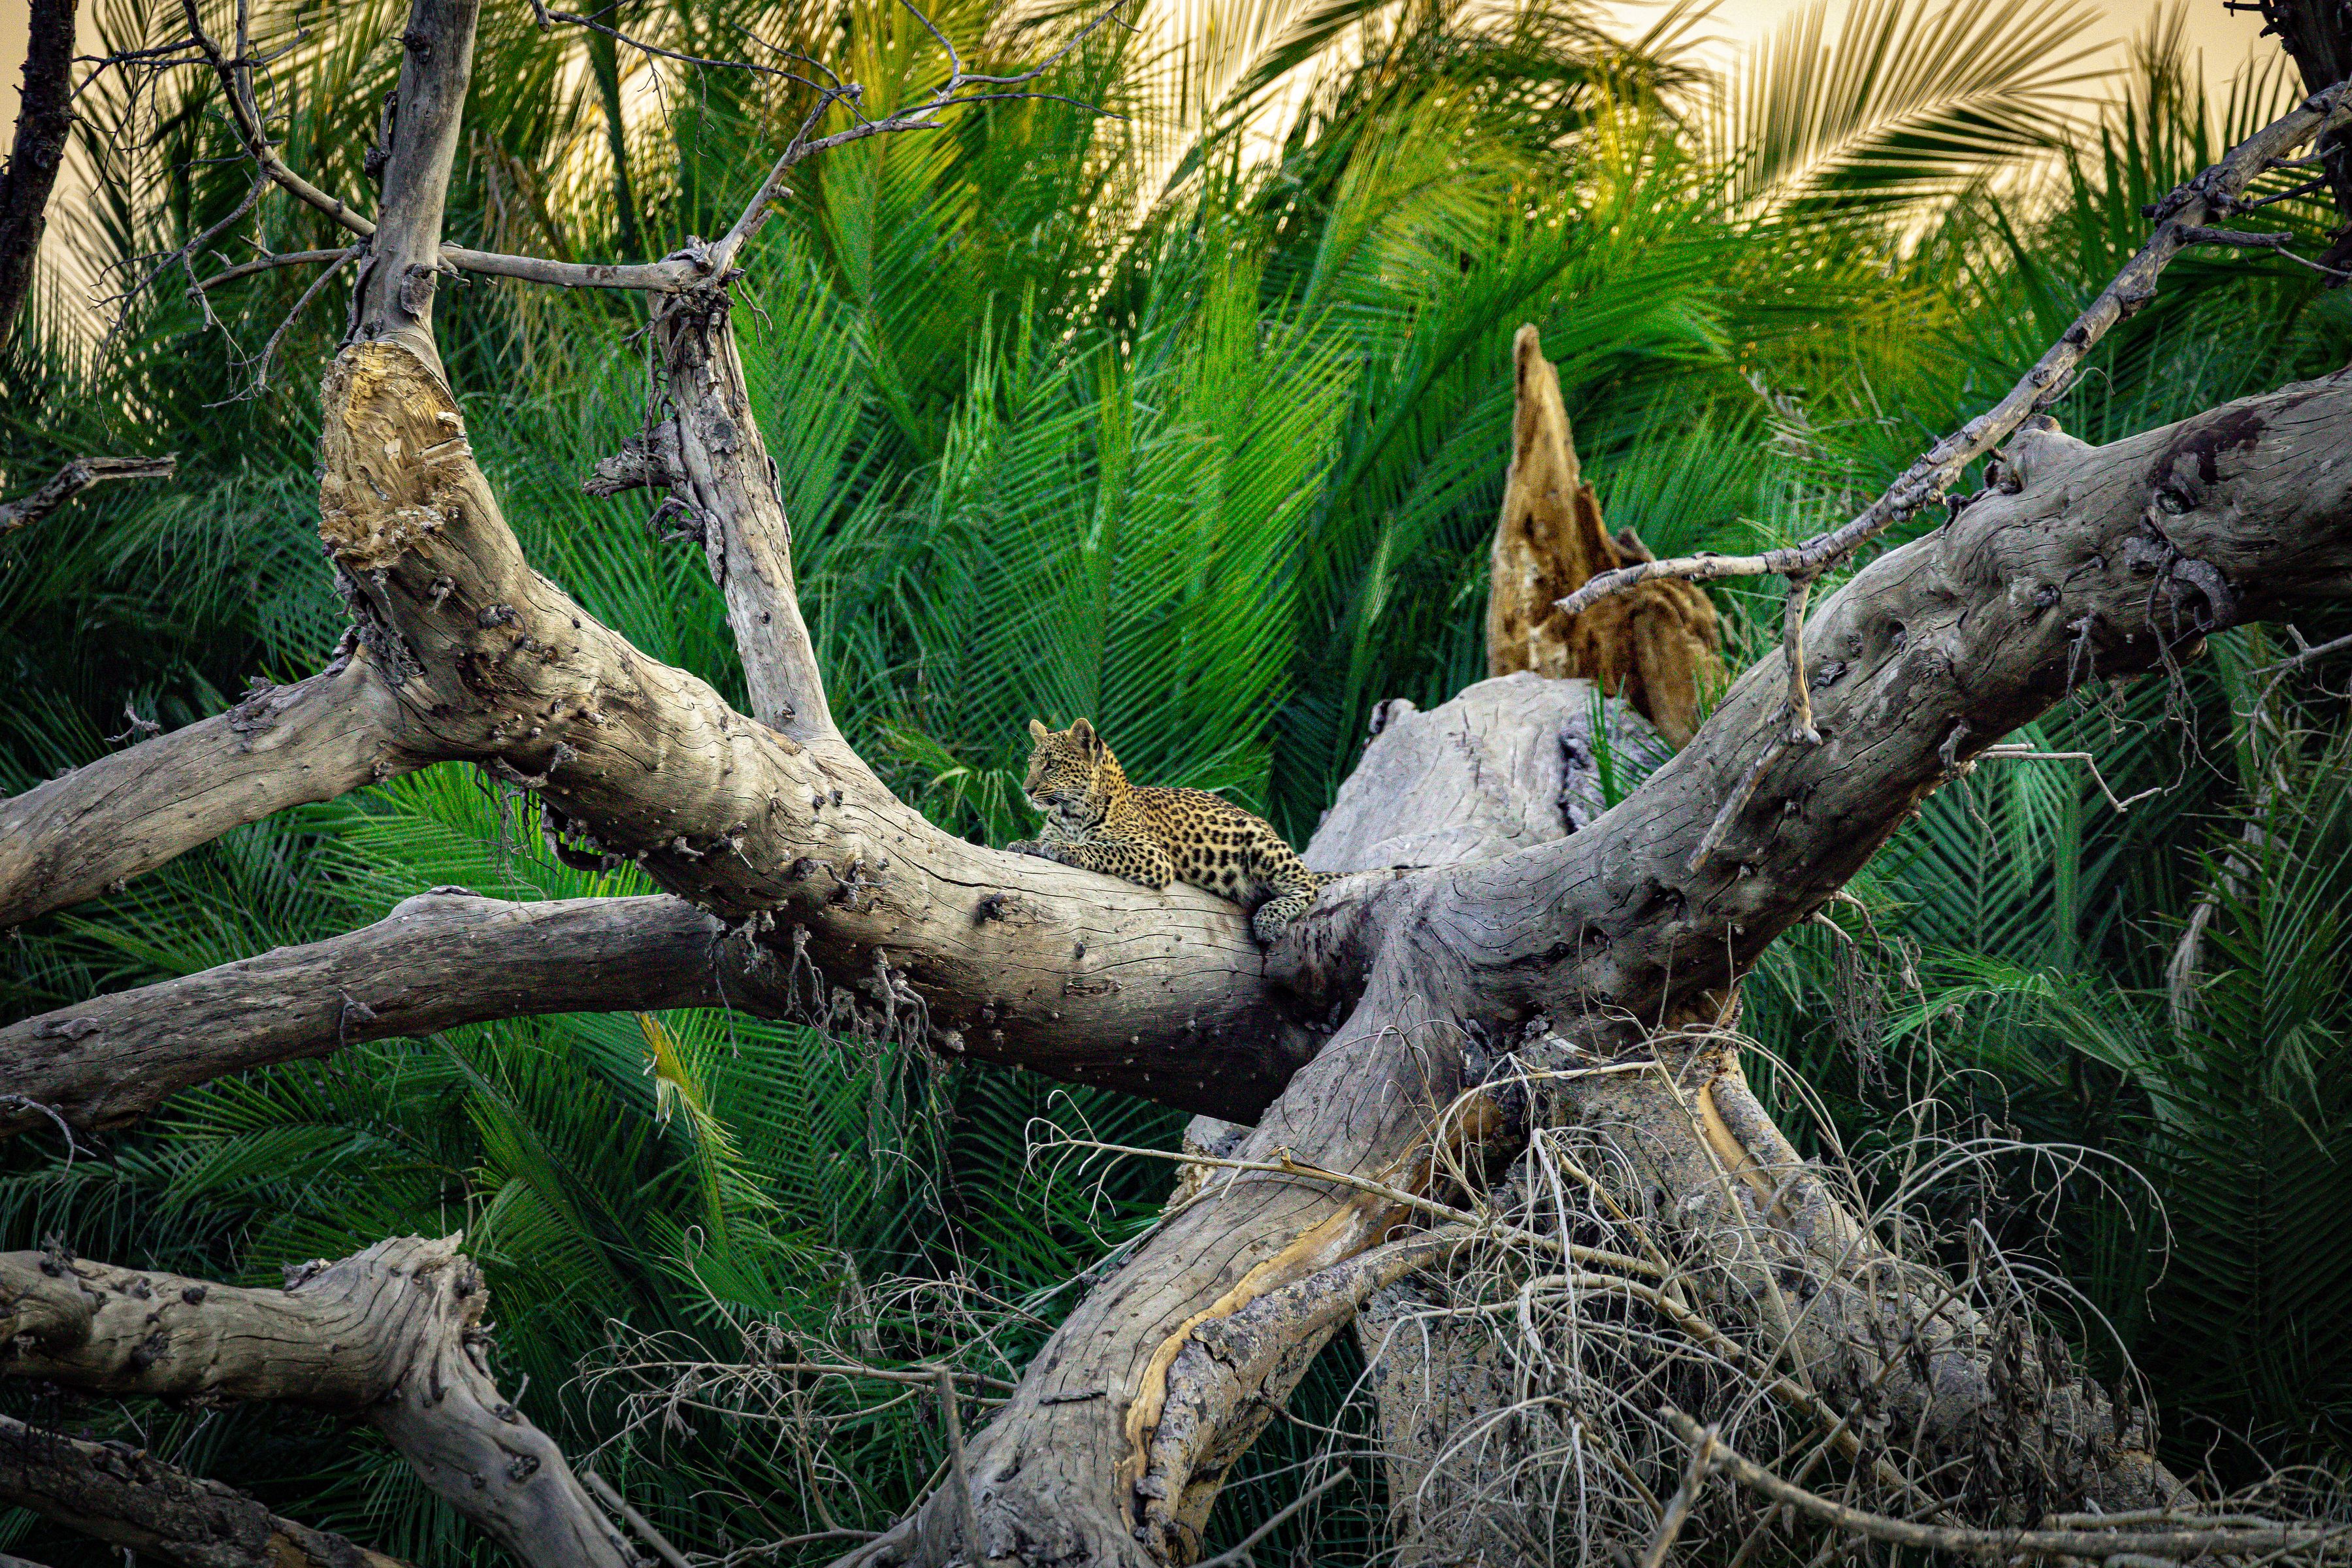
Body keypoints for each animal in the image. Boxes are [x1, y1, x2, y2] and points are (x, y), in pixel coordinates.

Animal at [1004, 718, 1323, 942]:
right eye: (1031, 765)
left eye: (1051, 765)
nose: (1026, 790)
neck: (1071, 812)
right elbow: (1042, 841)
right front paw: (1024, 844)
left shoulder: (1152, 855)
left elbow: (1102, 848)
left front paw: (1065, 849)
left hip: (1259, 842)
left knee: (1309, 886)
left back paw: (1269, 919)